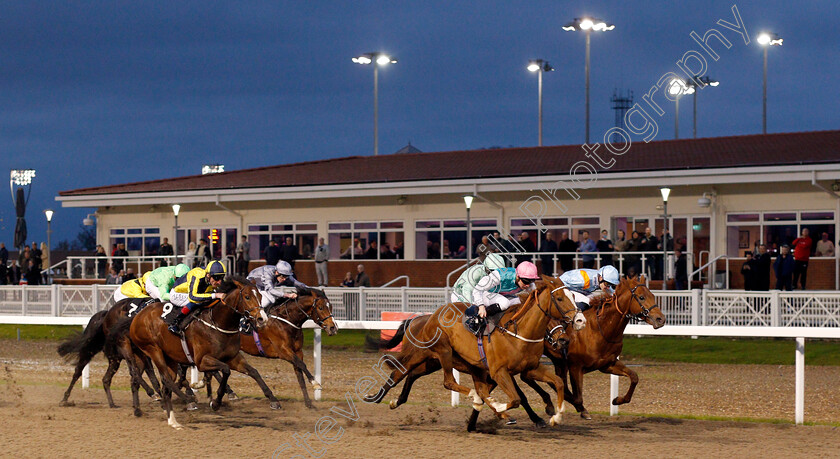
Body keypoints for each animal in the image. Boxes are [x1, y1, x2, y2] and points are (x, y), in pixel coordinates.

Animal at [116, 276, 270, 432]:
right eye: (247, 297)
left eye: (260, 296)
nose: (262, 319)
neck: (217, 322)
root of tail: (136, 317)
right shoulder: (201, 360)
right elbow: (225, 370)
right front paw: (215, 402)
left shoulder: (232, 357)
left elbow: (251, 371)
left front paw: (272, 399)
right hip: (153, 349)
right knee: (166, 379)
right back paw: (188, 400)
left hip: (164, 357)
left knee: (155, 382)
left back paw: (171, 420)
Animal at [368, 274, 584, 430]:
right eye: (559, 298)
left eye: (573, 297)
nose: (579, 321)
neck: (518, 332)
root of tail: (426, 318)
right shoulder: (498, 372)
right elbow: (516, 398)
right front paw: (500, 409)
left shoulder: (529, 368)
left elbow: (557, 382)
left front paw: (556, 416)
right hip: (437, 352)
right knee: (421, 376)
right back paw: (375, 398)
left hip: (431, 361)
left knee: (410, 374)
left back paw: (391, 400)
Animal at [520, 276, 668, 420]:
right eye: (642, 297)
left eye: (653, 295)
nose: (661, 319)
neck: (600, 329)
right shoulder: (575, 366)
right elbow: (577, 398)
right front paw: (581, 410)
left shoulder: (607, 364)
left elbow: (634, 377)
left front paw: (617, 400)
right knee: (528, 377)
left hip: (556, 361)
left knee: (530, 377)